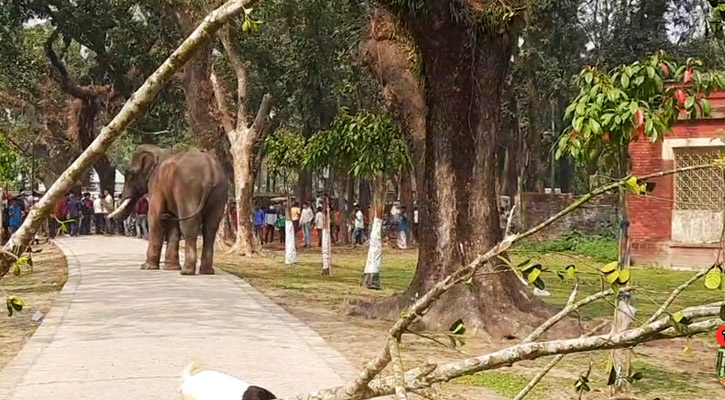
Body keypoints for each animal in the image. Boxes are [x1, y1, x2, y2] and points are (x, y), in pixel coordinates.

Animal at [113, 146, 228, 276]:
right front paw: (171, 268)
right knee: (210, 229)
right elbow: (173, 224)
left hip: (188, 189)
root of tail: (210, 171)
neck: (158, 151)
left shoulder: (156, 183)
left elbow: (154, 217)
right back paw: (207, 271)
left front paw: (146, 267)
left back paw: (187, 271)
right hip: (220, 190)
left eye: (130, 174)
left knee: (189, 226)